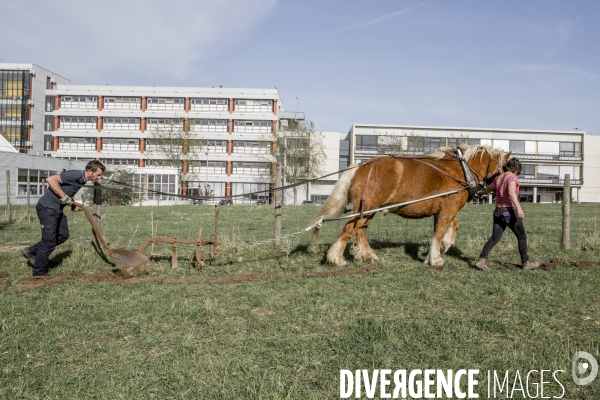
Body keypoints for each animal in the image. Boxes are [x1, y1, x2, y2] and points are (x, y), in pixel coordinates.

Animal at [310, 145, 510, 268]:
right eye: (507, 166)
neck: (461, 169)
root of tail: (361, 165)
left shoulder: (444, 209)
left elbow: (450, 226)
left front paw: (443, 246)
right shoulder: (449, 208)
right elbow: (440, 231)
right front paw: (436, 258)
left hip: (367, 211)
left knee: (360, 231)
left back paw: (368, 255)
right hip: (366, 209)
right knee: (350, 229)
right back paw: (336, 258)